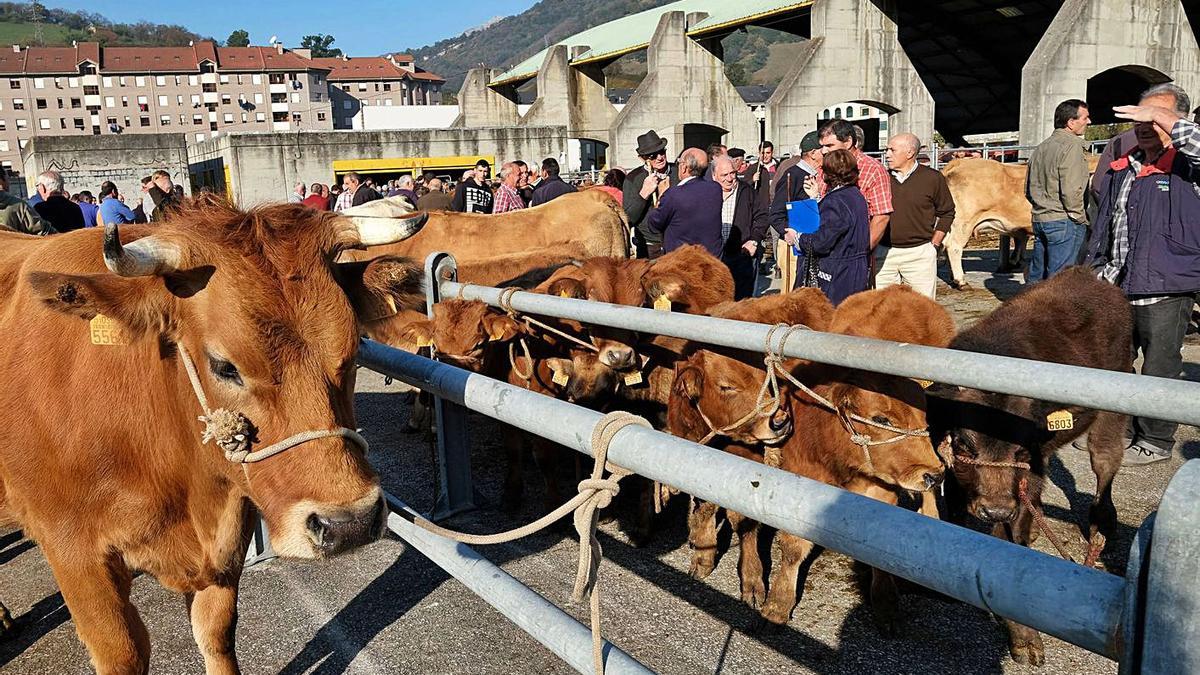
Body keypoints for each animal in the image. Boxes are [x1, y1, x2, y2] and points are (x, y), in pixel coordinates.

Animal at [0, 196, 427, 667]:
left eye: (353, 351)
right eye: (224, 366)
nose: (350, 523)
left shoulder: (227, 539)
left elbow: (216, 633)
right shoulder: (75, 556)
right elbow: (124, 653)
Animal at [926, 266, 1132, 662]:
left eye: (1021, 450)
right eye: (963, 442)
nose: (995, 510)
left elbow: (1008, 547)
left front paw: (1024, 639)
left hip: (1111, 414)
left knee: (1105, 460)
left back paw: (1101, 524)